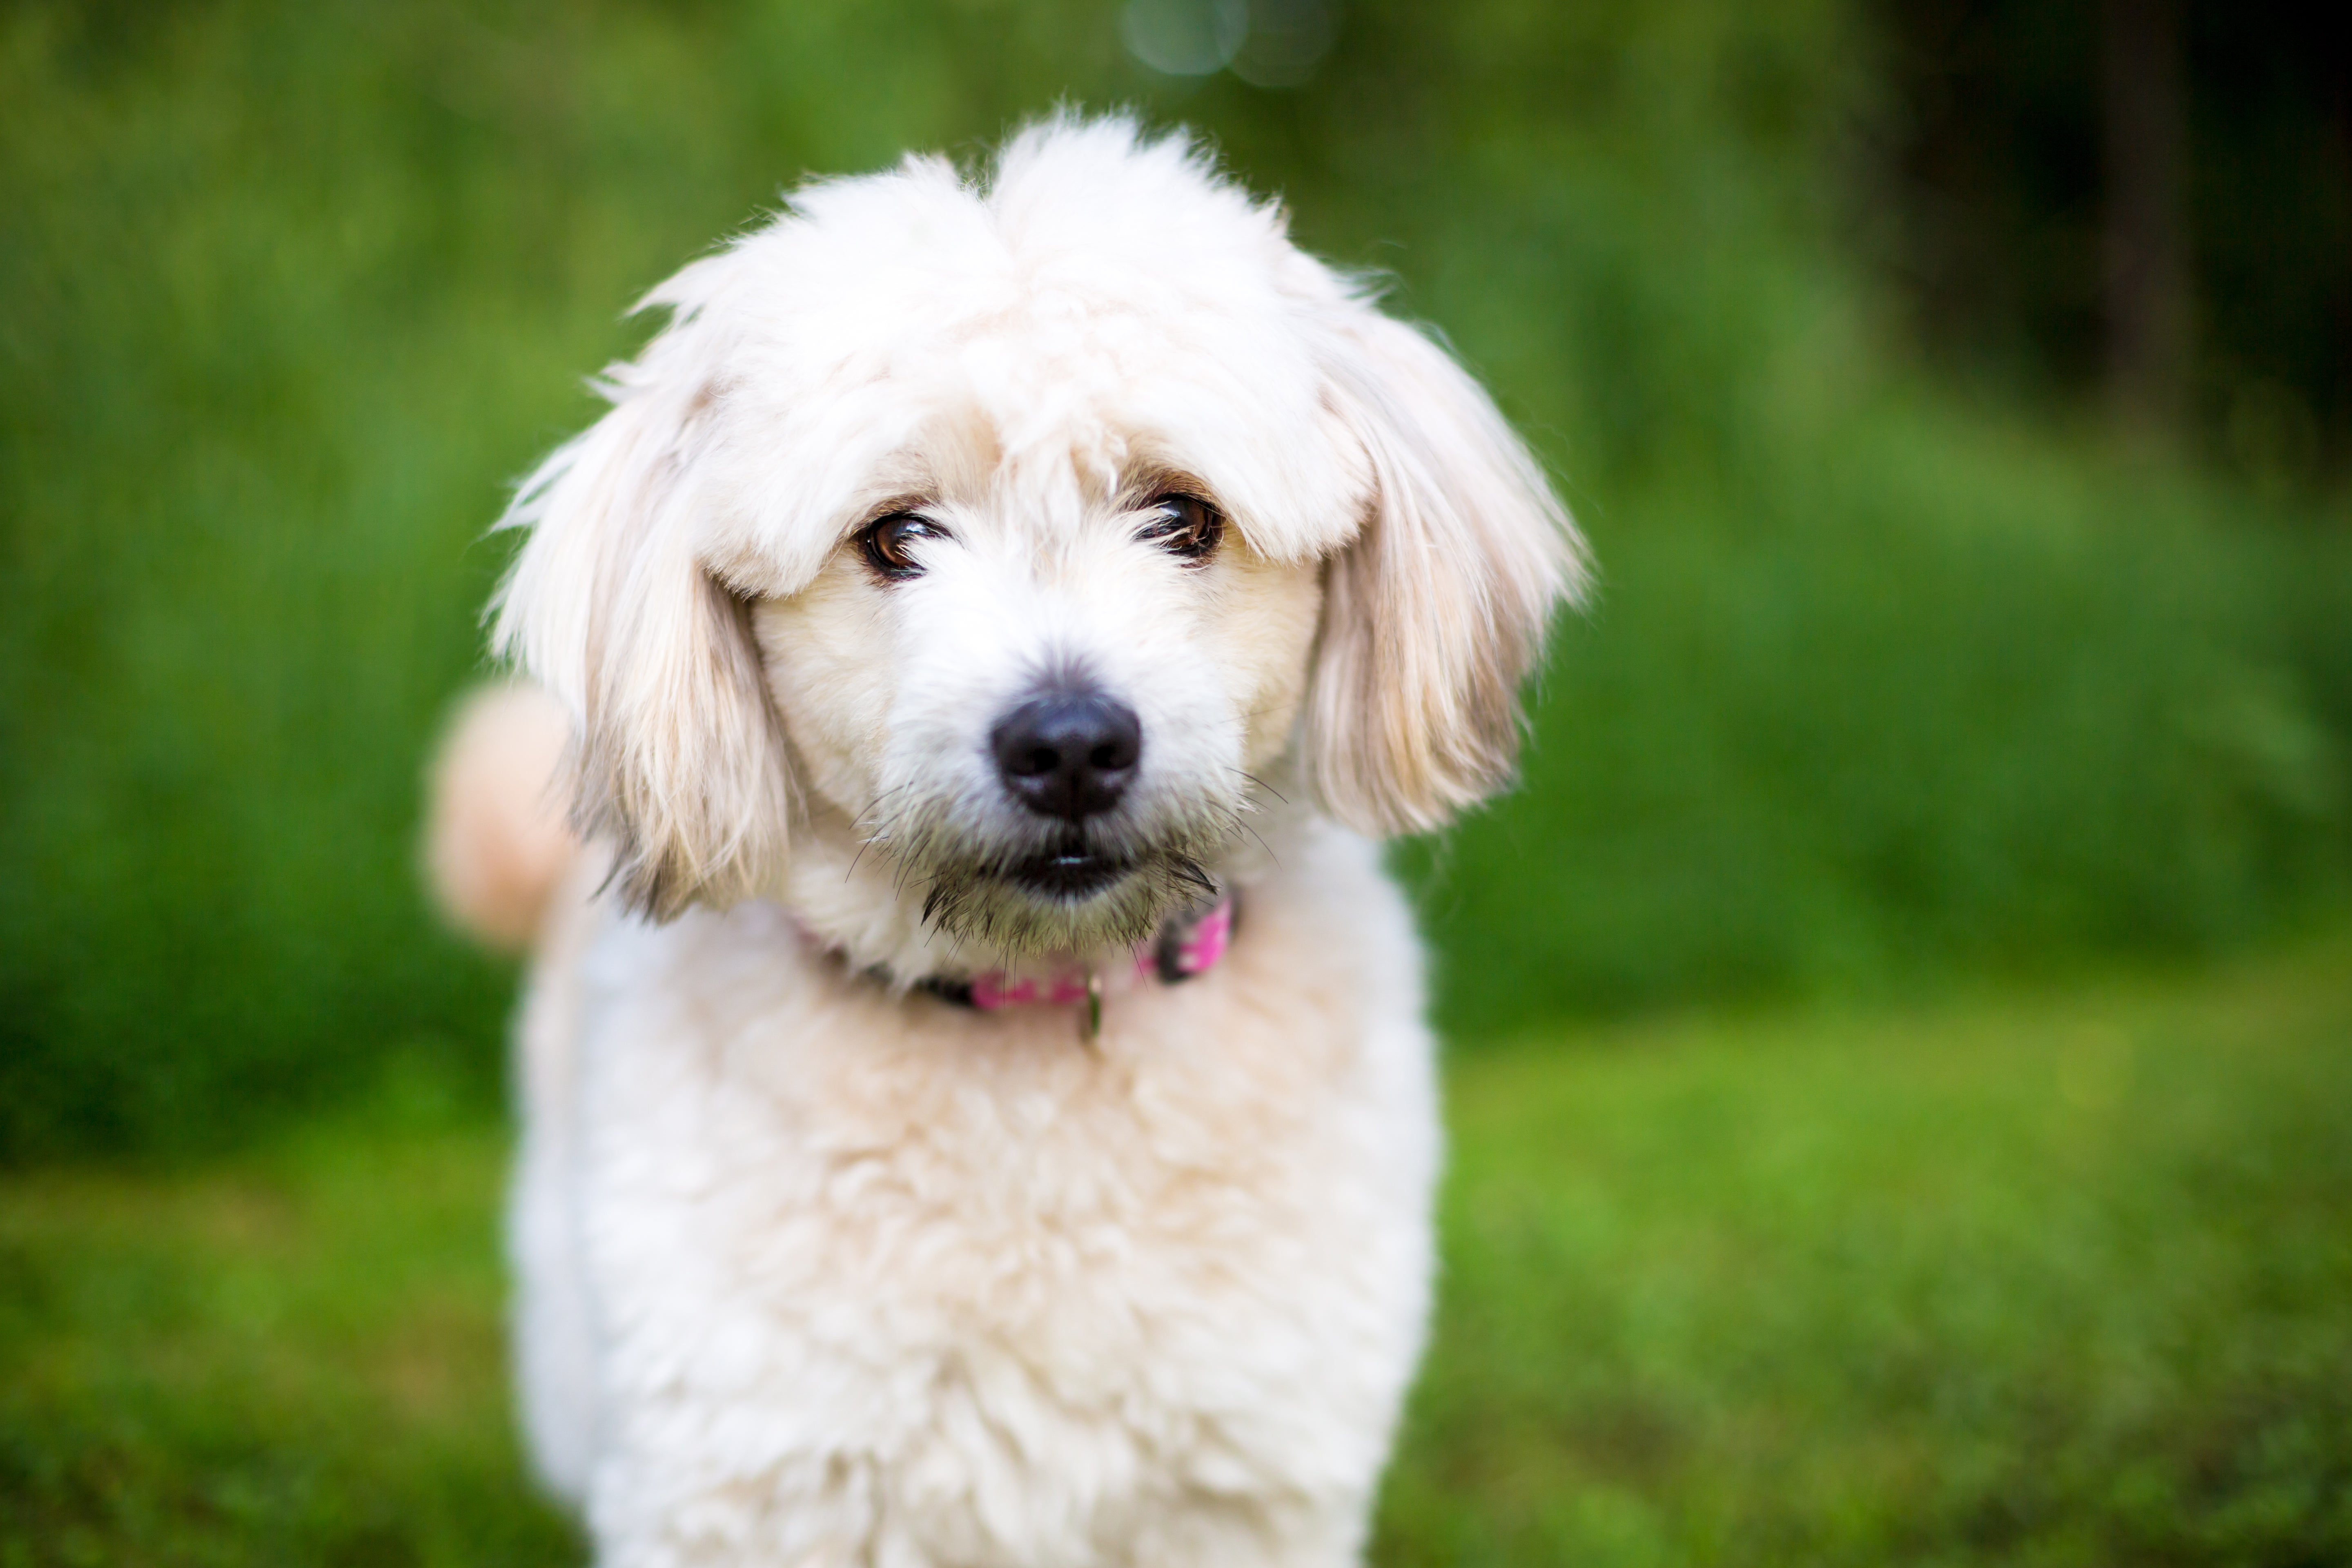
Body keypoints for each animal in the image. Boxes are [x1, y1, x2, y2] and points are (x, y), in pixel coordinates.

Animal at [432, 116, 1590, 1561]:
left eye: (1183, 515)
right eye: (896, 536)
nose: (1073, 744)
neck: (1038, 1025)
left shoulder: (1244, 1487)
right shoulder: (745, 1486)